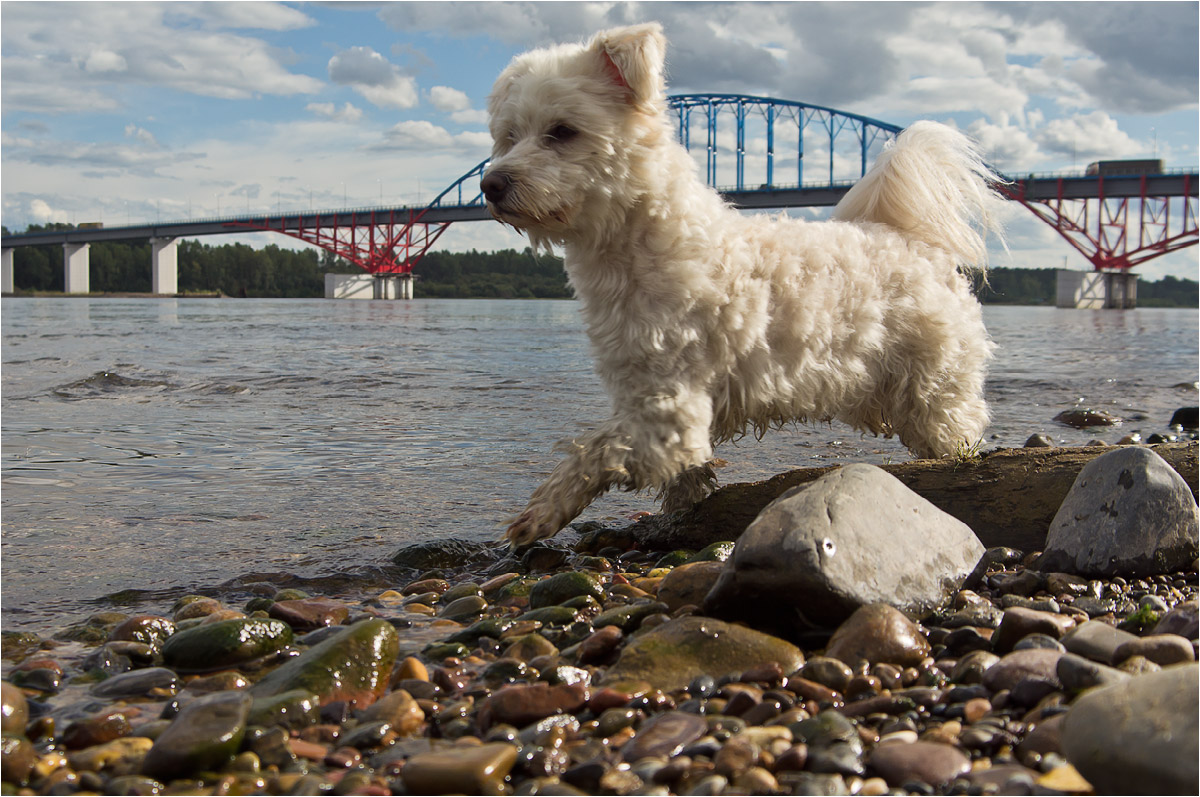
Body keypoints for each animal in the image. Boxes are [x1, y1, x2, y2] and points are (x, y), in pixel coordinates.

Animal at [480, 24, 1003, 547]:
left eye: (563, 131)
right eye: (509, 136)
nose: (490, 184)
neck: (639, 243)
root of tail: (910, 239)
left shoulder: (668, 413)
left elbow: (597, 448)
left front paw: (544, 510)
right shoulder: (649, 389)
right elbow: (675, 470)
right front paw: (685, 499)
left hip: (936, 389)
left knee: (956, 432)